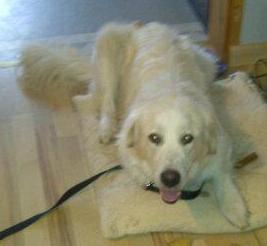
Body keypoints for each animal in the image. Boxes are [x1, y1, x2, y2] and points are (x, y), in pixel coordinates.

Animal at [18, 21, 249, 229]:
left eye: (187, 138)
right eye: (154, 138)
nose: (170, 179)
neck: (170, 91)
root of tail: (145, 25)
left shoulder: (222, 140)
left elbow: (222, 174)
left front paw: (235, 207)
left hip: (206, 62)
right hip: (107, 46)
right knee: (106, 102)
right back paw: (105, 129)